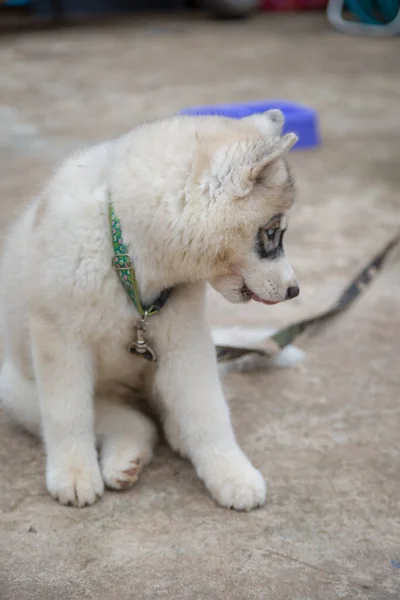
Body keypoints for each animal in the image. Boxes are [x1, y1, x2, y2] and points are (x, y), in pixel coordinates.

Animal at [0, 109, 300, 510]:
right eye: (270, 233)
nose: (295, 290)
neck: (127, 251)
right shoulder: (59, 342)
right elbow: (68, 415)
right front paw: (73, 474)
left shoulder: (186, 341)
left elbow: (208, 412)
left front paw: (230, 472)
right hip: (17, 390)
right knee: (129, 422)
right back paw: (124, 457)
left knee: (164, 416)